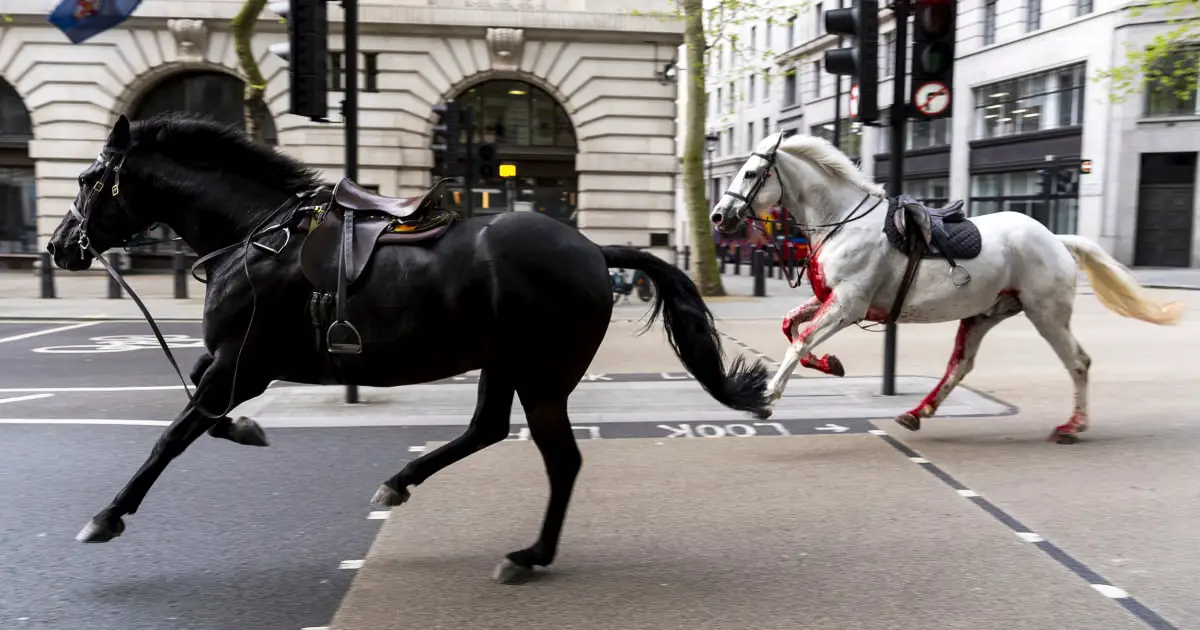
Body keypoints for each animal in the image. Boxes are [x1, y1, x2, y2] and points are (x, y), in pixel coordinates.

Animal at [44, 112, 768, 585]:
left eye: (87, 179)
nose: (59, 248)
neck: (255, 236)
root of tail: (593, 249)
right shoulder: (230, 363)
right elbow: (200, 408)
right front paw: (248, 430)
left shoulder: (244, 364)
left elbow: (174, 434)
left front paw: (107, 516)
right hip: (503, 362)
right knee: (486, 429)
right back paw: (401, 483)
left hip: (542, 374)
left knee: (560, 459)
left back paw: (530, 555)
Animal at [705, 131, 1185, 441]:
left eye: (751, 173)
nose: (718, 216)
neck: (842, 221)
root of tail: (1055, 238)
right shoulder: (832, 300)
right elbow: (791, 327)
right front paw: (831, 364)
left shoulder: (848, 304)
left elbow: (800, 340)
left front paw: (768, 396)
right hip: (984, 314)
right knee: (960, 365)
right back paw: (919, 412)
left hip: (1045, 313)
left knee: (1079, 362)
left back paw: (1073, 426)